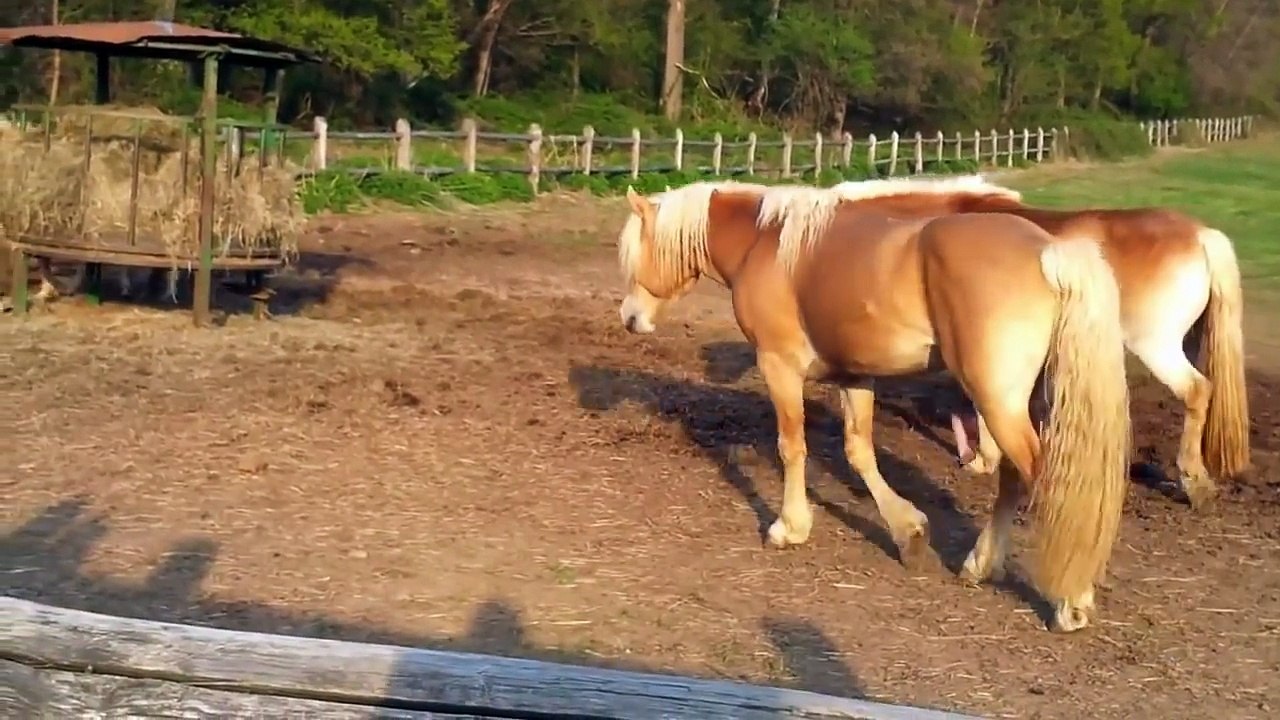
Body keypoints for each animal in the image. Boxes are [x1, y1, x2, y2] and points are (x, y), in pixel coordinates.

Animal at [615, 178, 1132, 632]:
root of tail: (1049, 252)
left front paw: (789, 527)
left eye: (635, 253)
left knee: (1043, 480)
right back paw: (980, 564)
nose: (629, 319)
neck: (766, 244)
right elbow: (859, 453)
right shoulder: (855, 377)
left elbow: (791, 447)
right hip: (1010, 404)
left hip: (997, 401)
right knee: (1011, 478)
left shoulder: (779, 367)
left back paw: (1070, 601)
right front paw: (909, 532)